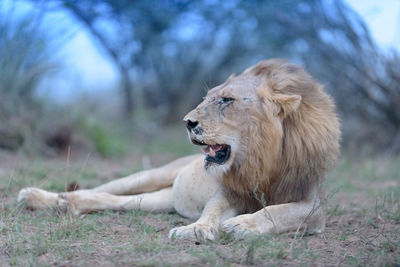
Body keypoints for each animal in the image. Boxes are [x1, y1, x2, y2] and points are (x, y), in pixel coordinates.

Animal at [17, 59, 340, 242]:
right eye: (208, 97)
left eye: (227, 100)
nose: (188, 122)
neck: (259, 159)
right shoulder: (229, 190)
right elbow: (212, 209)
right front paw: (196, 230)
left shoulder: (313, 206)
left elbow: (278, 212)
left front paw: (242, 224)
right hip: (150, 175)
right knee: (99, 189)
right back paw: (37, 197)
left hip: (158, 201)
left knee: (110, 200)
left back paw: (64, 205)